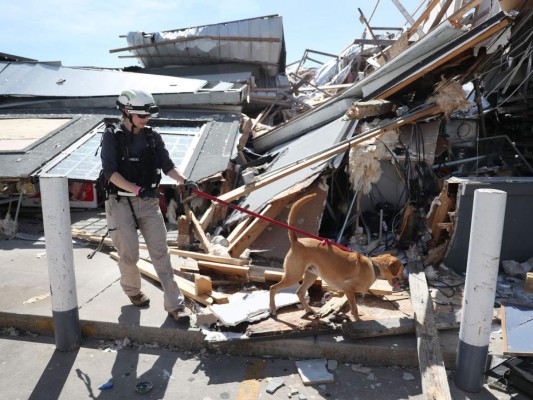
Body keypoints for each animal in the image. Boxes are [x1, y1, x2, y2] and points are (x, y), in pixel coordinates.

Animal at [268, 194, 406, 322]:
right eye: (401, 269)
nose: (403, 280)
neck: (374, 267)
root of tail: (296, 242)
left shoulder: (345, 289)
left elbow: (342, 298)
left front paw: (332, 298)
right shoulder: (348, 287)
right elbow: (354, 308)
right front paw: (358, 321)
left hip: (311, 275)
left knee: (300, 292)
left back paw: (309, 310)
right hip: (294, 275)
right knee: (273, 288)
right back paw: (273, 309)